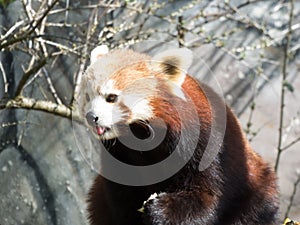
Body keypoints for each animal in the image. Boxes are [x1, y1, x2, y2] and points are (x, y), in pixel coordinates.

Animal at [79, 46, 278, 225]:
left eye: (111, 97)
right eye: (87, 97)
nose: (91, 117)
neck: (142, 139)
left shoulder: (204, 144)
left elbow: (208, 195)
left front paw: (160, 210)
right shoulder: (120, 156)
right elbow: (122, 198)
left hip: (254, 186)